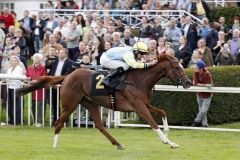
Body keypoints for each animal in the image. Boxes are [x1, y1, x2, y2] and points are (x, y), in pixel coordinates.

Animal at [16, 54, 191, 149]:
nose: (188, 82)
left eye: (182, 66)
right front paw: (170, 143)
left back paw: (118, 144)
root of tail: (67, 76)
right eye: (177, 67)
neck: (139, 81)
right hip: (70, 104)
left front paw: (168, 132)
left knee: (100, 125)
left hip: (89, 103)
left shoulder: (145, 105)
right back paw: (54, 146)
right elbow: (153, 124)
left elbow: (163, 111)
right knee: (59, 122)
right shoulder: (139, 107)